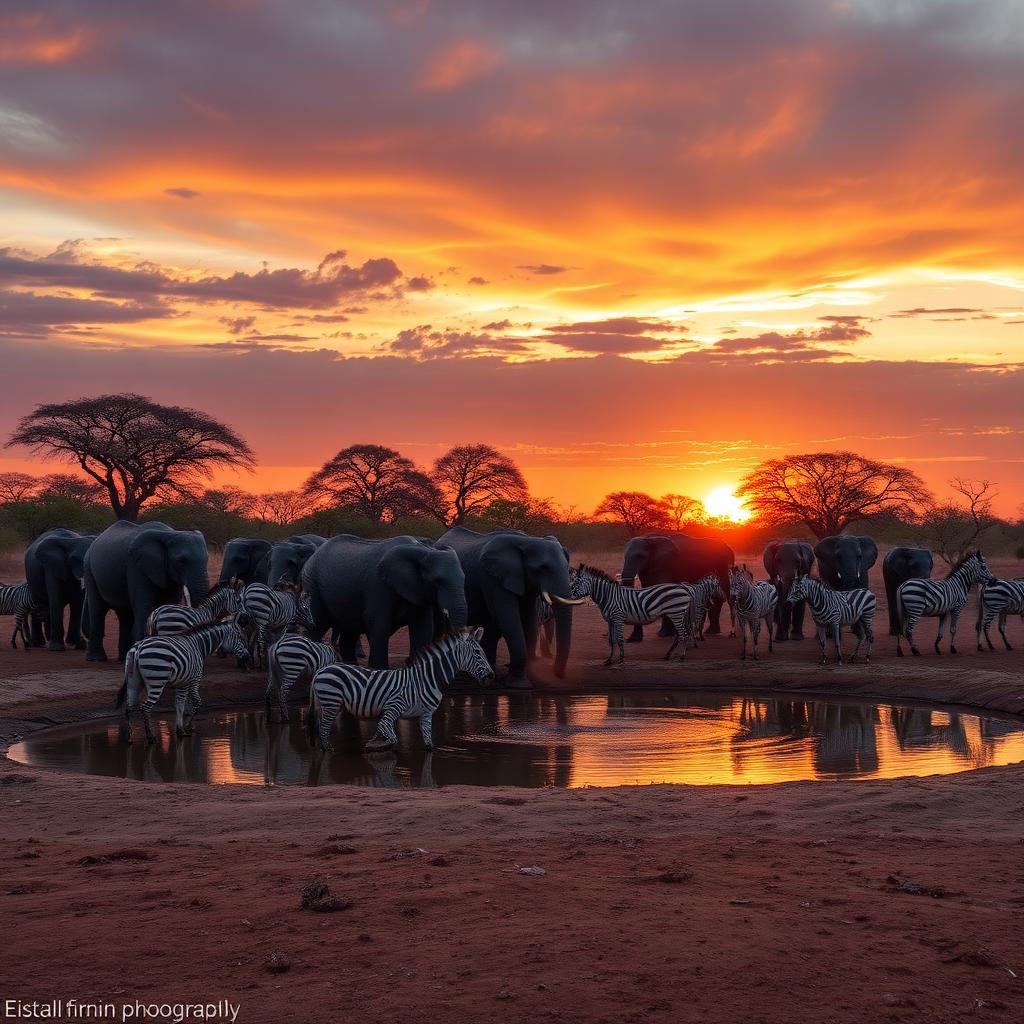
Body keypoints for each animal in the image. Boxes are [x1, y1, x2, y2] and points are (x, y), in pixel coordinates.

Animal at [83, 521, 210, 661]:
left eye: (207, 559)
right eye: (182, 561)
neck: (169, 534)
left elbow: (170, 603)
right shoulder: (136, 566)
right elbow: (145, 605)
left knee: (124, 614)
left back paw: (123, 657)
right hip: (89, 570)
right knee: (98, 610)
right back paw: (97, 658)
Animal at [115, 619, 251, 744]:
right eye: (240, 637)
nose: (247, 657)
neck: (199, 646)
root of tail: (139, 646)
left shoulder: (182, 682)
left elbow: (179, 704)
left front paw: (180, 729)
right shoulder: (195, 678)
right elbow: (196, 702)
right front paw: (187, 726)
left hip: (133, 681)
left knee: (129, 707)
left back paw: (129, 737)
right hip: (157, 681)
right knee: (145, 708)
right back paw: (150, 737)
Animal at [302, 534, 468, 668]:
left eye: (464, 579)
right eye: (437, 581)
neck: (423, 549)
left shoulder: (418, 590)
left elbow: (423, 629)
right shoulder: (378, 586)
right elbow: (379, 624)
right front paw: (380, 670)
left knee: (349, 631)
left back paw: (351, 666)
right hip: (312, 583)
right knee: (317, 625)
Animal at [307, 628, 493, 753]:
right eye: (478, 652)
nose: (491, 676)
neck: (426, 679)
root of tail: (320, 671)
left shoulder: (426, 715)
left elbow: (429, 745)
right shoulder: (393, 707)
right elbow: (391, 737)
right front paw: (374, 745)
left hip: (331, 704)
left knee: (321, 728)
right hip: (331, 701)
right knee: (323, 728)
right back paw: (328, 751)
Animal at [438, 526, 578, 687]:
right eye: (543, 568)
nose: (558, 674)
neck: (528, 541)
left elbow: (529, 620)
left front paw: (528, 678)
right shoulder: (492, 578)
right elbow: (509, 617)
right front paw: (518, 684)